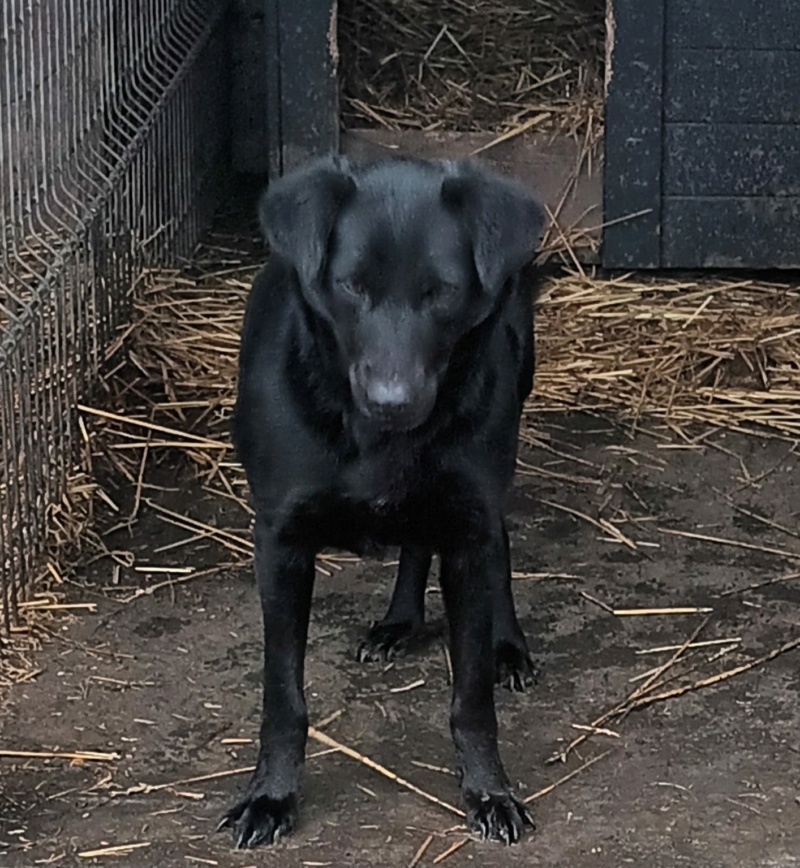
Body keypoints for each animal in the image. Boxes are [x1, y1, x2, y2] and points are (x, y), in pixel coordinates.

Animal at [222, 154, 548, 848]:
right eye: (351, 286)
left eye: (441, 292)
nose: (392, 402)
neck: (378, 440)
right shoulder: (280, 544)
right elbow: (282, 697)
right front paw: (270, 796)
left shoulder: (469, 523)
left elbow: (472, 697)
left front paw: (490, 790)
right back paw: (400, 621)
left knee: (495, 541)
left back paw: (507, 644)